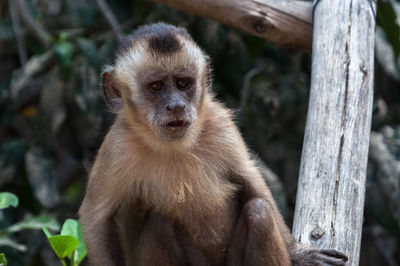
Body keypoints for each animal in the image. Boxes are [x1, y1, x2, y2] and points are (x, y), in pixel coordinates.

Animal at [78, 22, 346, 266]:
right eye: (156, 86)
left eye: (183, 83)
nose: (176, 106)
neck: (172, 146)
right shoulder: (117, 146)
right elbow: (95, 219)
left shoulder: (221, 124)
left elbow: (250, 180)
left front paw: (298, 253)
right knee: (159, 222)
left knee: (259, 212)